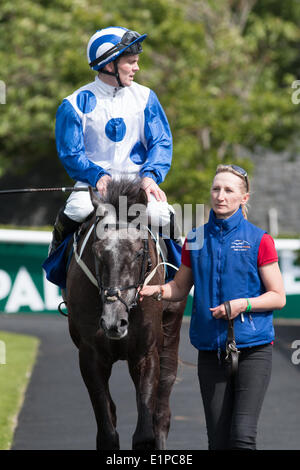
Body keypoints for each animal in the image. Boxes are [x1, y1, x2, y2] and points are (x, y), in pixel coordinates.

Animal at [64, 178, 186, 450]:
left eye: (139, 252)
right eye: (97, 251)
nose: (113, 322)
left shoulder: (145, 353)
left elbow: (145, 434)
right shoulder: (90, 356)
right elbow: (107, 431)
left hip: (171, 332)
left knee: (162, 411)